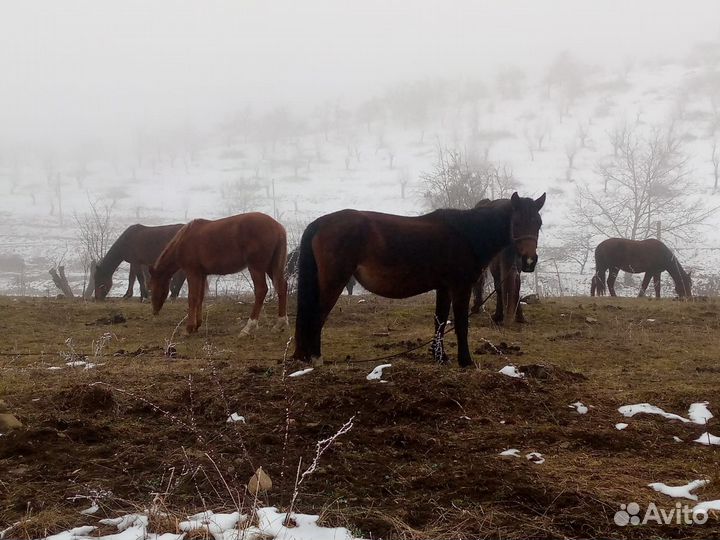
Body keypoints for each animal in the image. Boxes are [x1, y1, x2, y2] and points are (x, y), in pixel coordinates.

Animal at [148, 212, 289, 335]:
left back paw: (248, 327)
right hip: (271, 267)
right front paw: (197, 325)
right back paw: (280, 324)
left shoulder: (192, 272)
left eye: (151, 288)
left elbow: (192, 298)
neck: (183, 240)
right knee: (282, 287)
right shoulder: (202, 274)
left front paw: (188, 329)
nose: (154, 311)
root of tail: (278, 227)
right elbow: (200, 298)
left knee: (261, 290)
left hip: (256, 268)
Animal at [292, 192, 545, 367]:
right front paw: (465, 360)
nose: (529, 261)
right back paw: (316, 359)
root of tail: (320, 223)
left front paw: (440, 357)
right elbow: (461, 324)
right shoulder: (461, 287)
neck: (467, 234)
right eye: (516, 223)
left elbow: (440, 322)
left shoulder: (444, 288)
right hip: (333, 283)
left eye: (538, 223)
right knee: (316, 317)